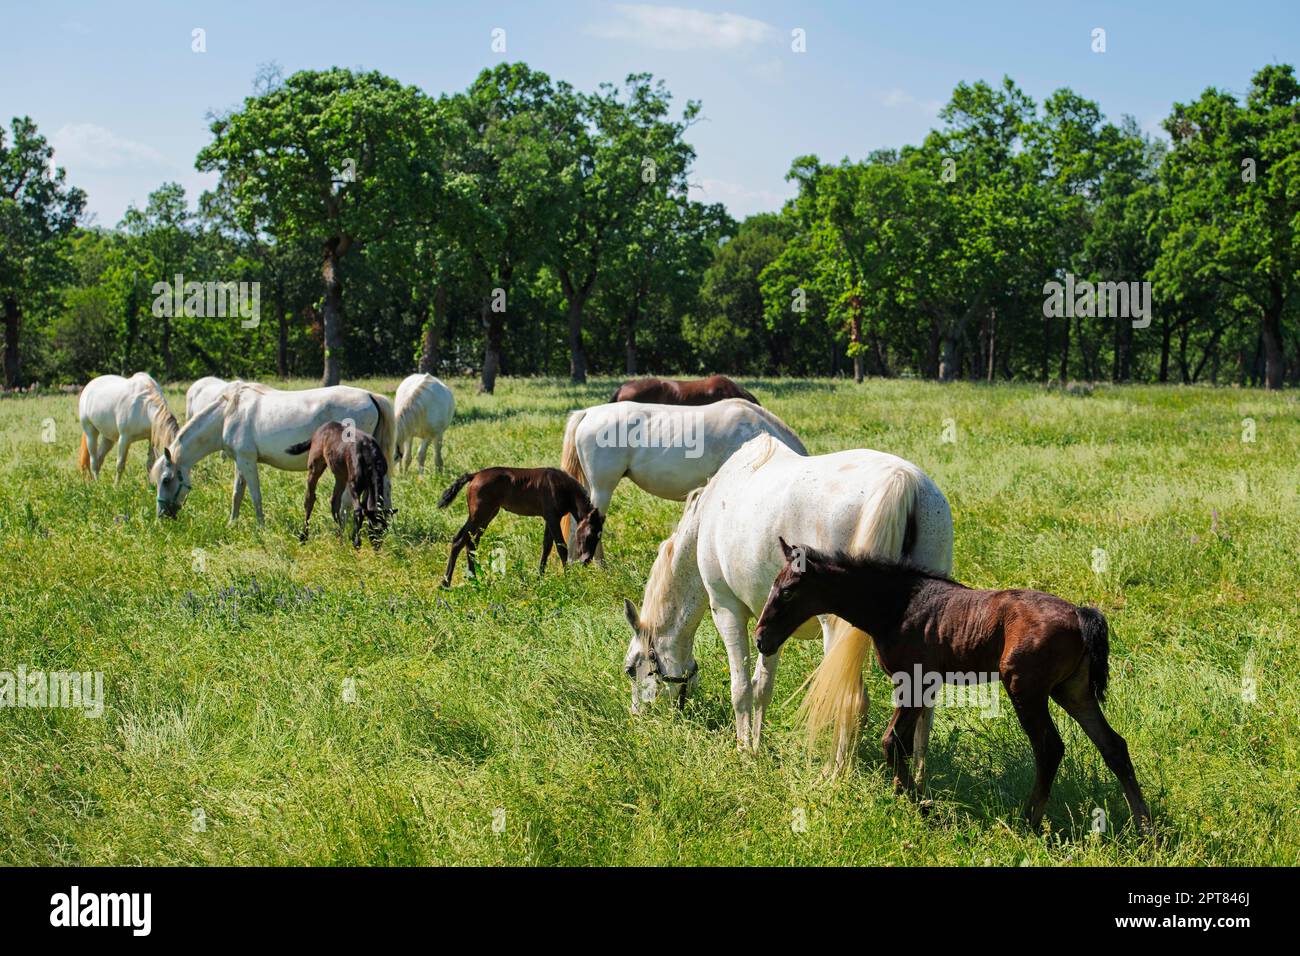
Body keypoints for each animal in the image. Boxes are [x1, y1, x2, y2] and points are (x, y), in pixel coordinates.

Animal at [151, 380, 396, 523]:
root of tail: (370, 396)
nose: (162, 516)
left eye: (166, 480)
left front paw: (260, 527)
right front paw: (232, 524)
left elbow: (255, 495)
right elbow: (237, 494)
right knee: (384, 487)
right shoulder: (240, 461)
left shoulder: (248, 461)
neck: (228, 413)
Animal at [437, 467, 604, 586]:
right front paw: (569, 578)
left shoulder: (549, 518)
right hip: (479, 514)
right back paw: (446, 583)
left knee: (471, 543)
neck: (561, 487)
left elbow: (546, 546)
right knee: (459, 540)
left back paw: (474, 579)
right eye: (589, 534)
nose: (586, 561)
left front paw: (540, 577)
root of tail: (475, 475)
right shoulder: (553, 517)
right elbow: (561, 547)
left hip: (488, 515)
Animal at [620, 435, 953, 763]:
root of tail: (902, 480)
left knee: (850, 698)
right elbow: (762, 685)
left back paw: (832, 772)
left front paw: (744, 750)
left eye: (630, 668)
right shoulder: (770, 626)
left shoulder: (726, 610)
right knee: (923, 707)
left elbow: (741, 687)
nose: (638, 716)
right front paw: (756, 744)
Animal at [753, 542, 1153, 833]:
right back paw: (1145, 829)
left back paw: (1027, 822)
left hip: (1026, 690)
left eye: (787, 591)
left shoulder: (914, 680)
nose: (761, 638)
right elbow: (904, 741)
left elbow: (892, 740)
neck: (897, 605)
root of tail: (1081, 614)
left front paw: (919, 807)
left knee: (1050, 748)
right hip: (1073, 691)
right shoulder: (919, 685)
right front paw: (910, 798)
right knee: (1114, 746)